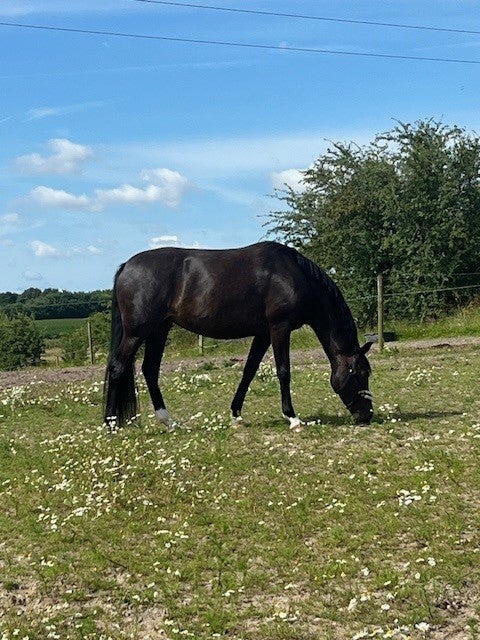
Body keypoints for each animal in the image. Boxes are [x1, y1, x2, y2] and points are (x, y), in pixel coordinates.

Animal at [104, 240, 376, 430]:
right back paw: (111, 424)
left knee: (150, 370)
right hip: (136, 333)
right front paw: (293, 418)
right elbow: (283, 371)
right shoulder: (279, 327)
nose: (367, 415)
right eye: (362, 374)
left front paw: (236, 416)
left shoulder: (263, 333)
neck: (293, 275)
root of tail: (126, 266)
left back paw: (169, 422)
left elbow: (249, 371)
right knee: (118, 368)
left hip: (159, 330)